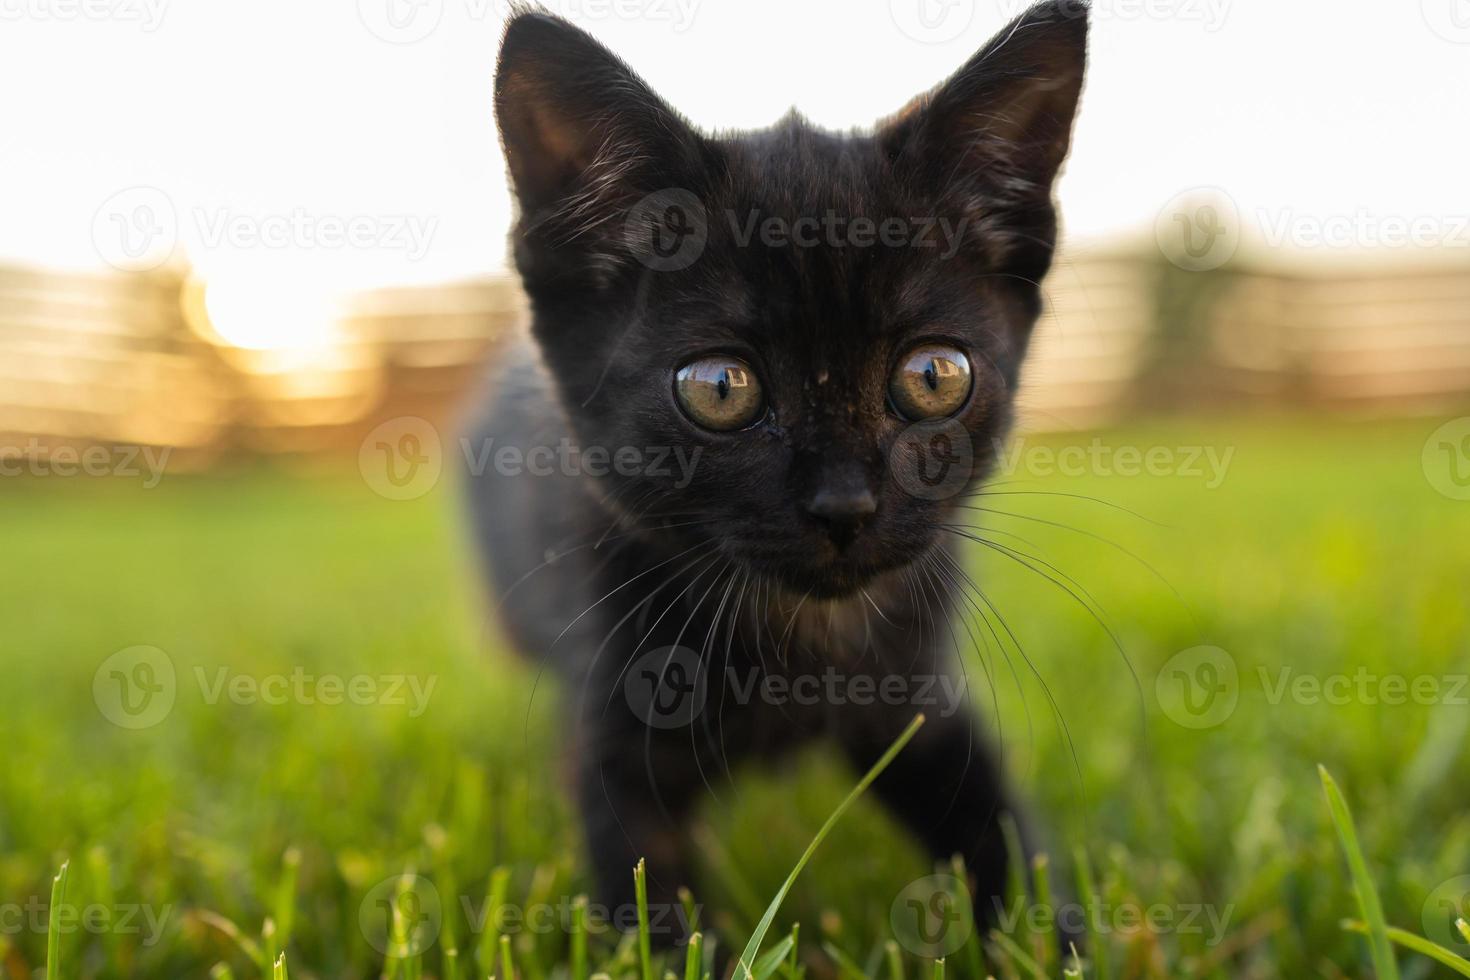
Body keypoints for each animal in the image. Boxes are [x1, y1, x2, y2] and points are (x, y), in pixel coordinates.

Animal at [464, 0, 1087, 946]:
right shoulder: (612, 735)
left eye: (934, 376)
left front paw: (1060, 939)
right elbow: (652, 908)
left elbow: (1008, 836)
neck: (799, 641)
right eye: (720, 388)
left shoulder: (924, 703)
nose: (845, 505)